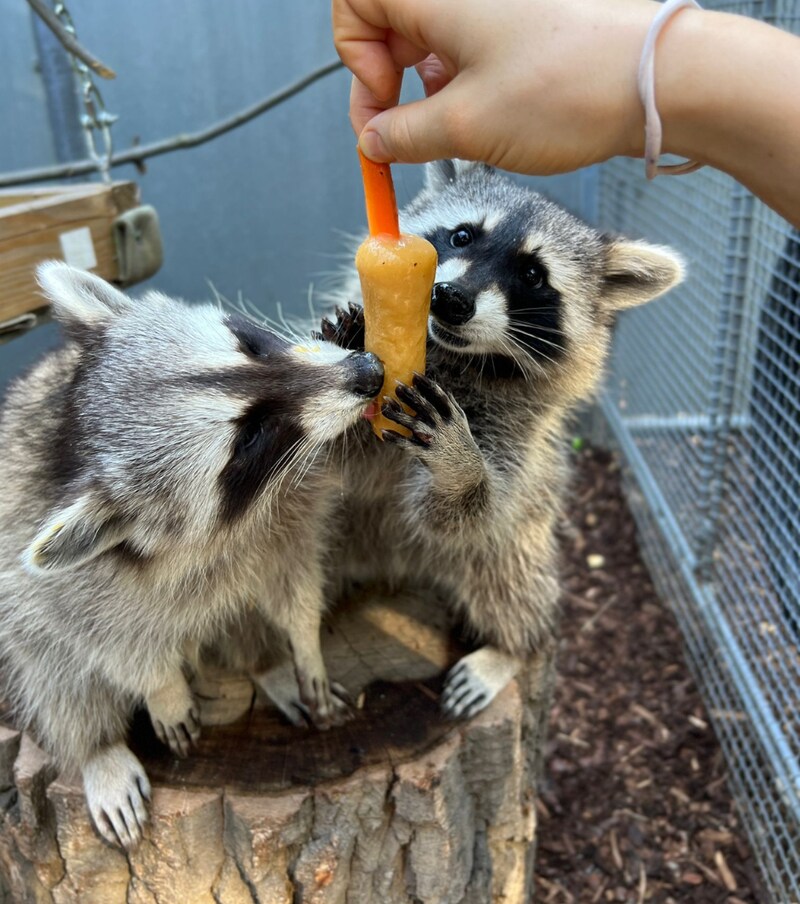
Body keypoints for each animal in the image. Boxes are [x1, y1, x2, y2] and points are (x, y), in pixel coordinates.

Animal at [0, 262, 382, 848]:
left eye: (249, 345)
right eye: (250, 437)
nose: (368, 369)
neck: (72, 441)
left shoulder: (288, 522)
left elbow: (294, 585)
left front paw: (303, 645)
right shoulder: (60, 573)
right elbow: (97, 635)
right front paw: (160, 686)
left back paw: (266, 664)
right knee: (50, 666)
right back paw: (98, 749)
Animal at [318, 157, 680, 720]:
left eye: (532, 275)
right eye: (462, 235)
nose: (451, 299)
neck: (455, 361)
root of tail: (395, 571)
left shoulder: (518, 433)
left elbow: (466, 512)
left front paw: (459, 467)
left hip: (522, 533)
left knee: (507, 571)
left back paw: (513, 647)